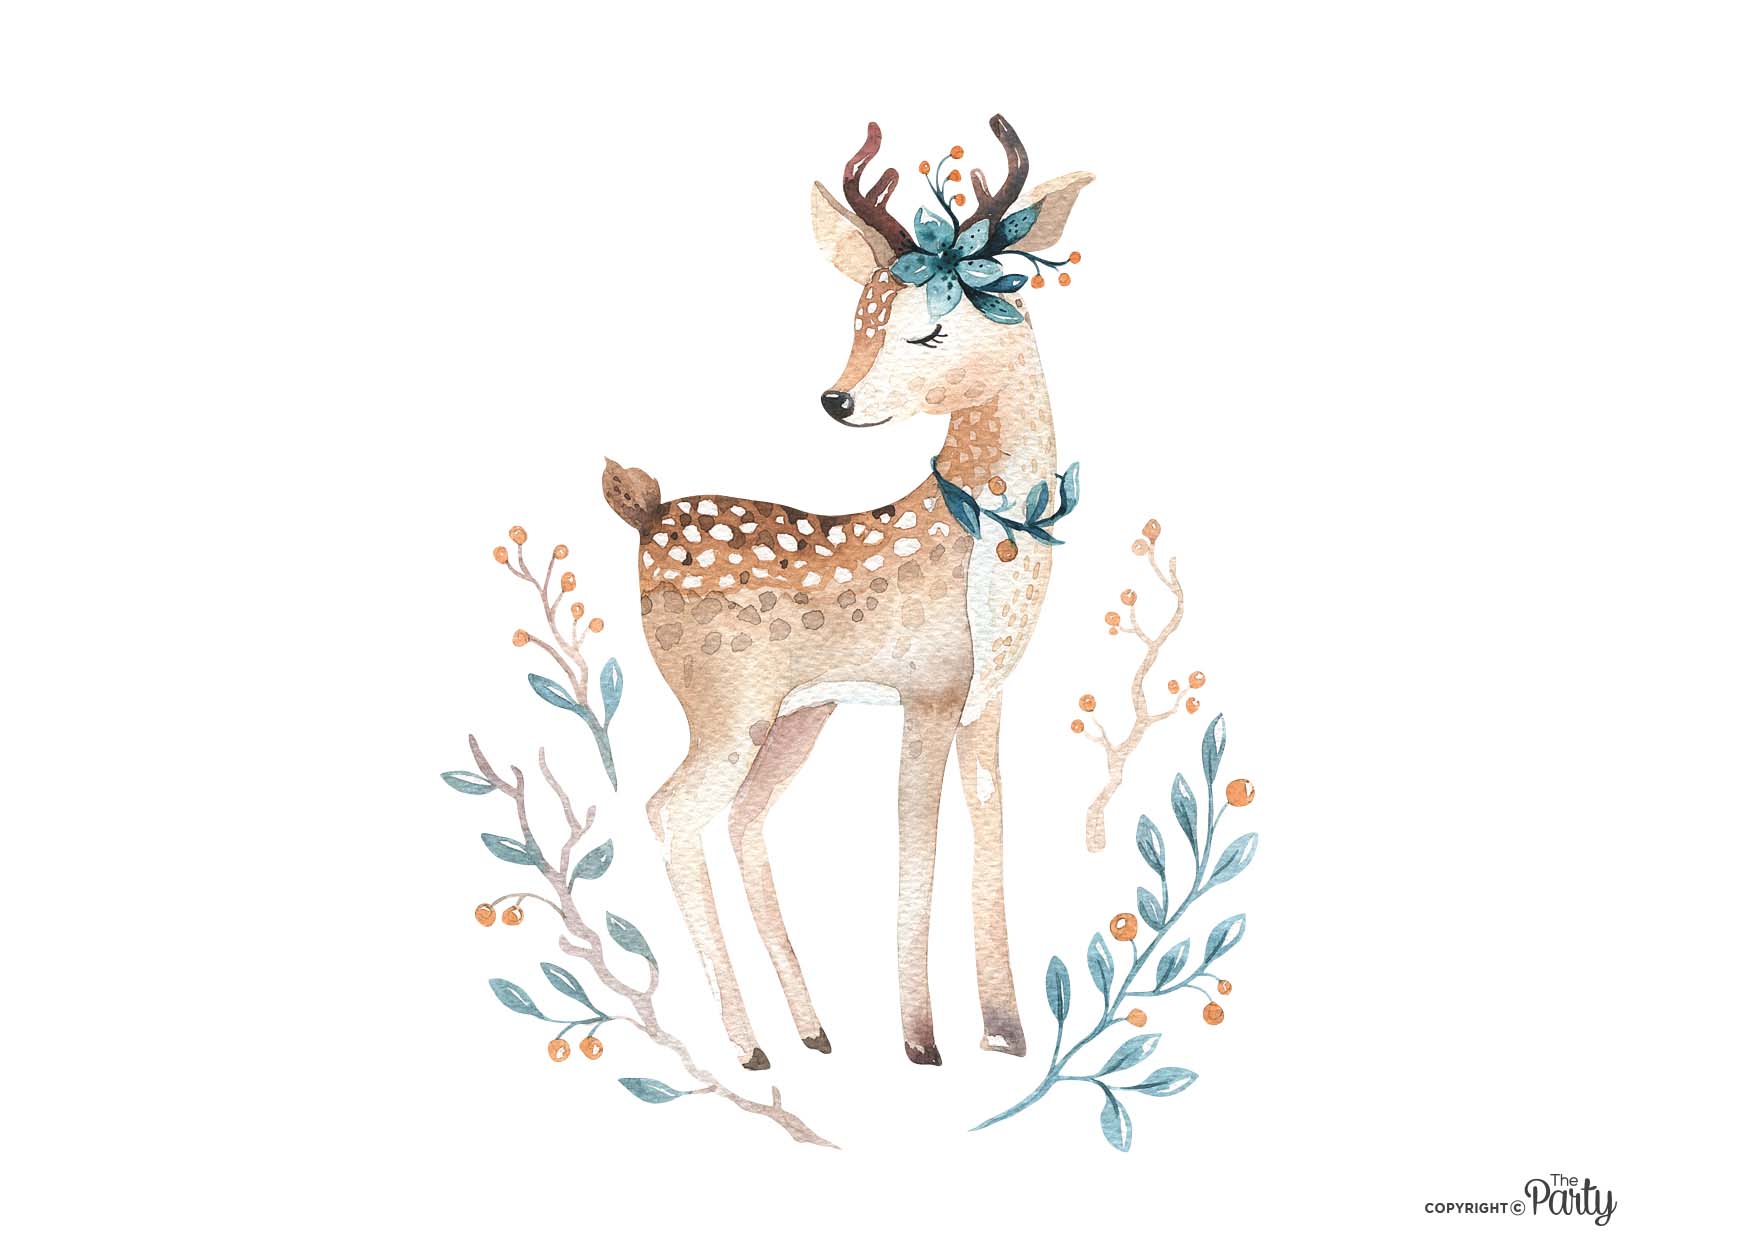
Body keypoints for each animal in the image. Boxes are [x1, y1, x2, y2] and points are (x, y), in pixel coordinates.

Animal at [602, 115, 1092, 1070]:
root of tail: (641, 513)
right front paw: (921, 1040)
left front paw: (1006, 1032)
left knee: (743, 818)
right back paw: (749, 1045)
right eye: (859, 317)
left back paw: (812, 1029)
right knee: (669, 811)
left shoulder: (983, 700)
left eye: (929, 332)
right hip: (726, 702)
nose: (836, 399)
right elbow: (915, 838)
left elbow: (990, 826)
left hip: (798, 713)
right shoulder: (928, 687)